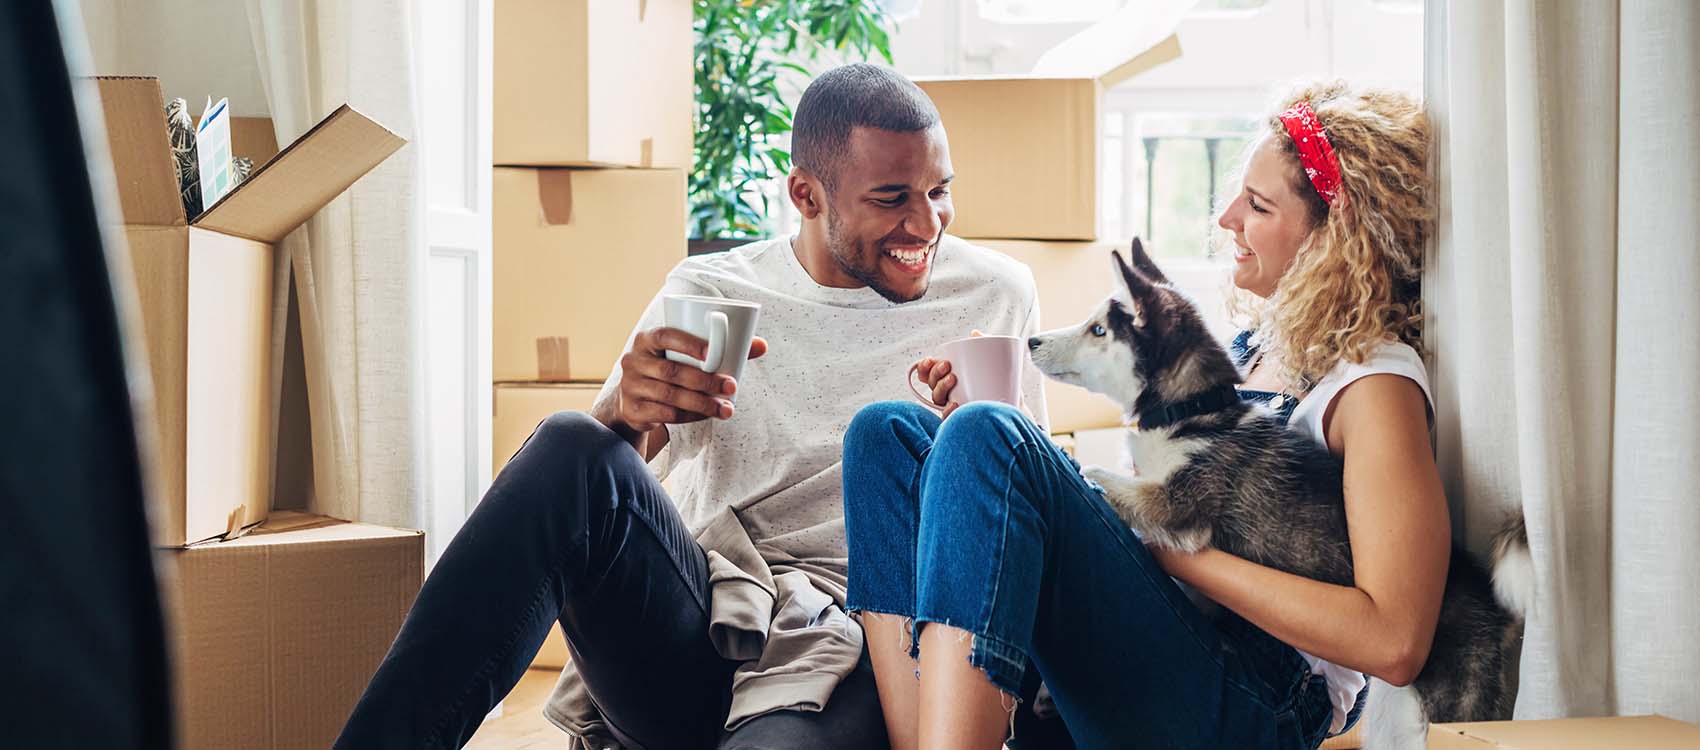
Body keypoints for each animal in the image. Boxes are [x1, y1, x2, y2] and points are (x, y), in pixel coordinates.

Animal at [1026, 239, 1536, 748]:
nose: (1032, 341)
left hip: (1444, 707)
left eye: (1097, 330)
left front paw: (1073, 463)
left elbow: (1100, 477)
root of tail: (1490, 599)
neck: (1191, 411)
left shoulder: (1178, 507)